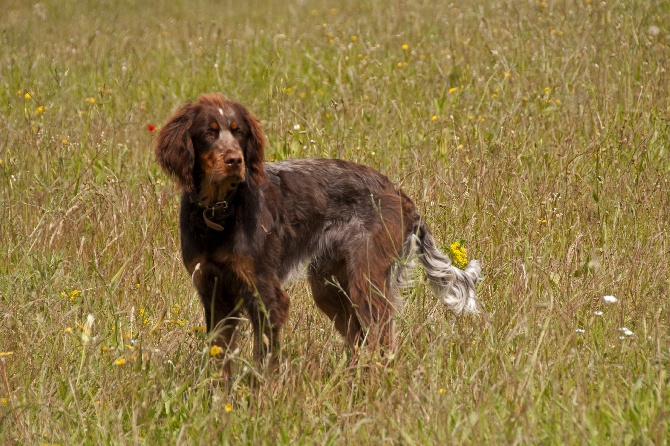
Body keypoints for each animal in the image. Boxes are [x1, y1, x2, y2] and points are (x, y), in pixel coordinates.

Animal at [158, 93, 484, 362]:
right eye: (208, 132)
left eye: (240, 132)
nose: (235, 160)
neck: (219, 212)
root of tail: (399, 194)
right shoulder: (213, 294)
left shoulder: (267, 296)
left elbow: (263, 365)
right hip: (327, 284)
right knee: (361, 343)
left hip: (366, 283)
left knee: (382, 344)